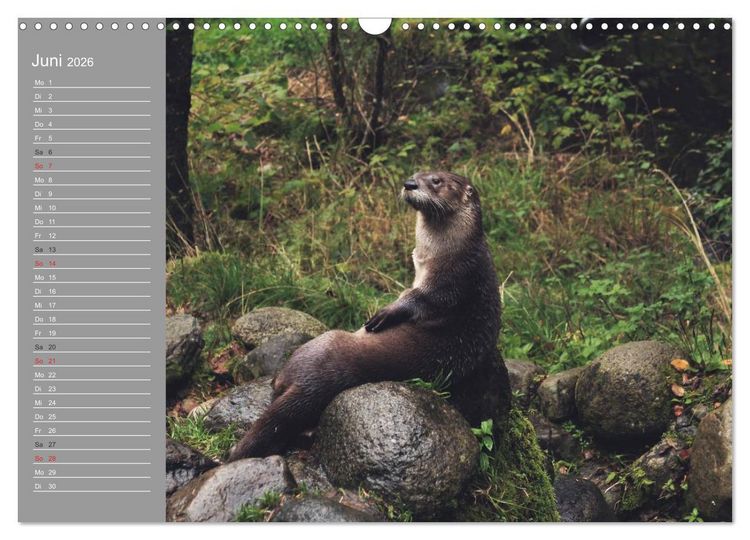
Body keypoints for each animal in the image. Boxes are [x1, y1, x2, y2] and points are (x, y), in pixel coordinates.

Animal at [227, 171, 510, 461]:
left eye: (437, 181)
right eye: (416, 174)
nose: (409, 184)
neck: (449, 251)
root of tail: (311, 384)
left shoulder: (452, 280)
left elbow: (419, 300)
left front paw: (385, 313)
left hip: (320, 345)